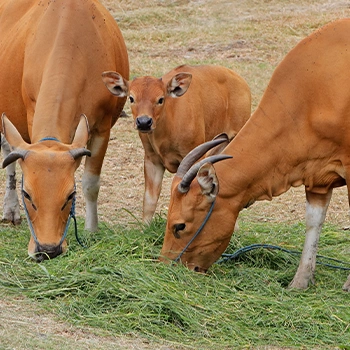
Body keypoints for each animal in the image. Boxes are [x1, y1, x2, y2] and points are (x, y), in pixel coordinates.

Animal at [0, 0, 129, 262]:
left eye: (70, 195)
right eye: (27, 194)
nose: (48, 249)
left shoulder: (102, 128)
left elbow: (91, 182)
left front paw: (91, 230)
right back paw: (10, 209)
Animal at [101, 64, 252, 223]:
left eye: (160, 99)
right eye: (131, 98)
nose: (144, 122)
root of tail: (240, 81)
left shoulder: (194, 155)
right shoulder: (151, 159)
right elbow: (149, 200)